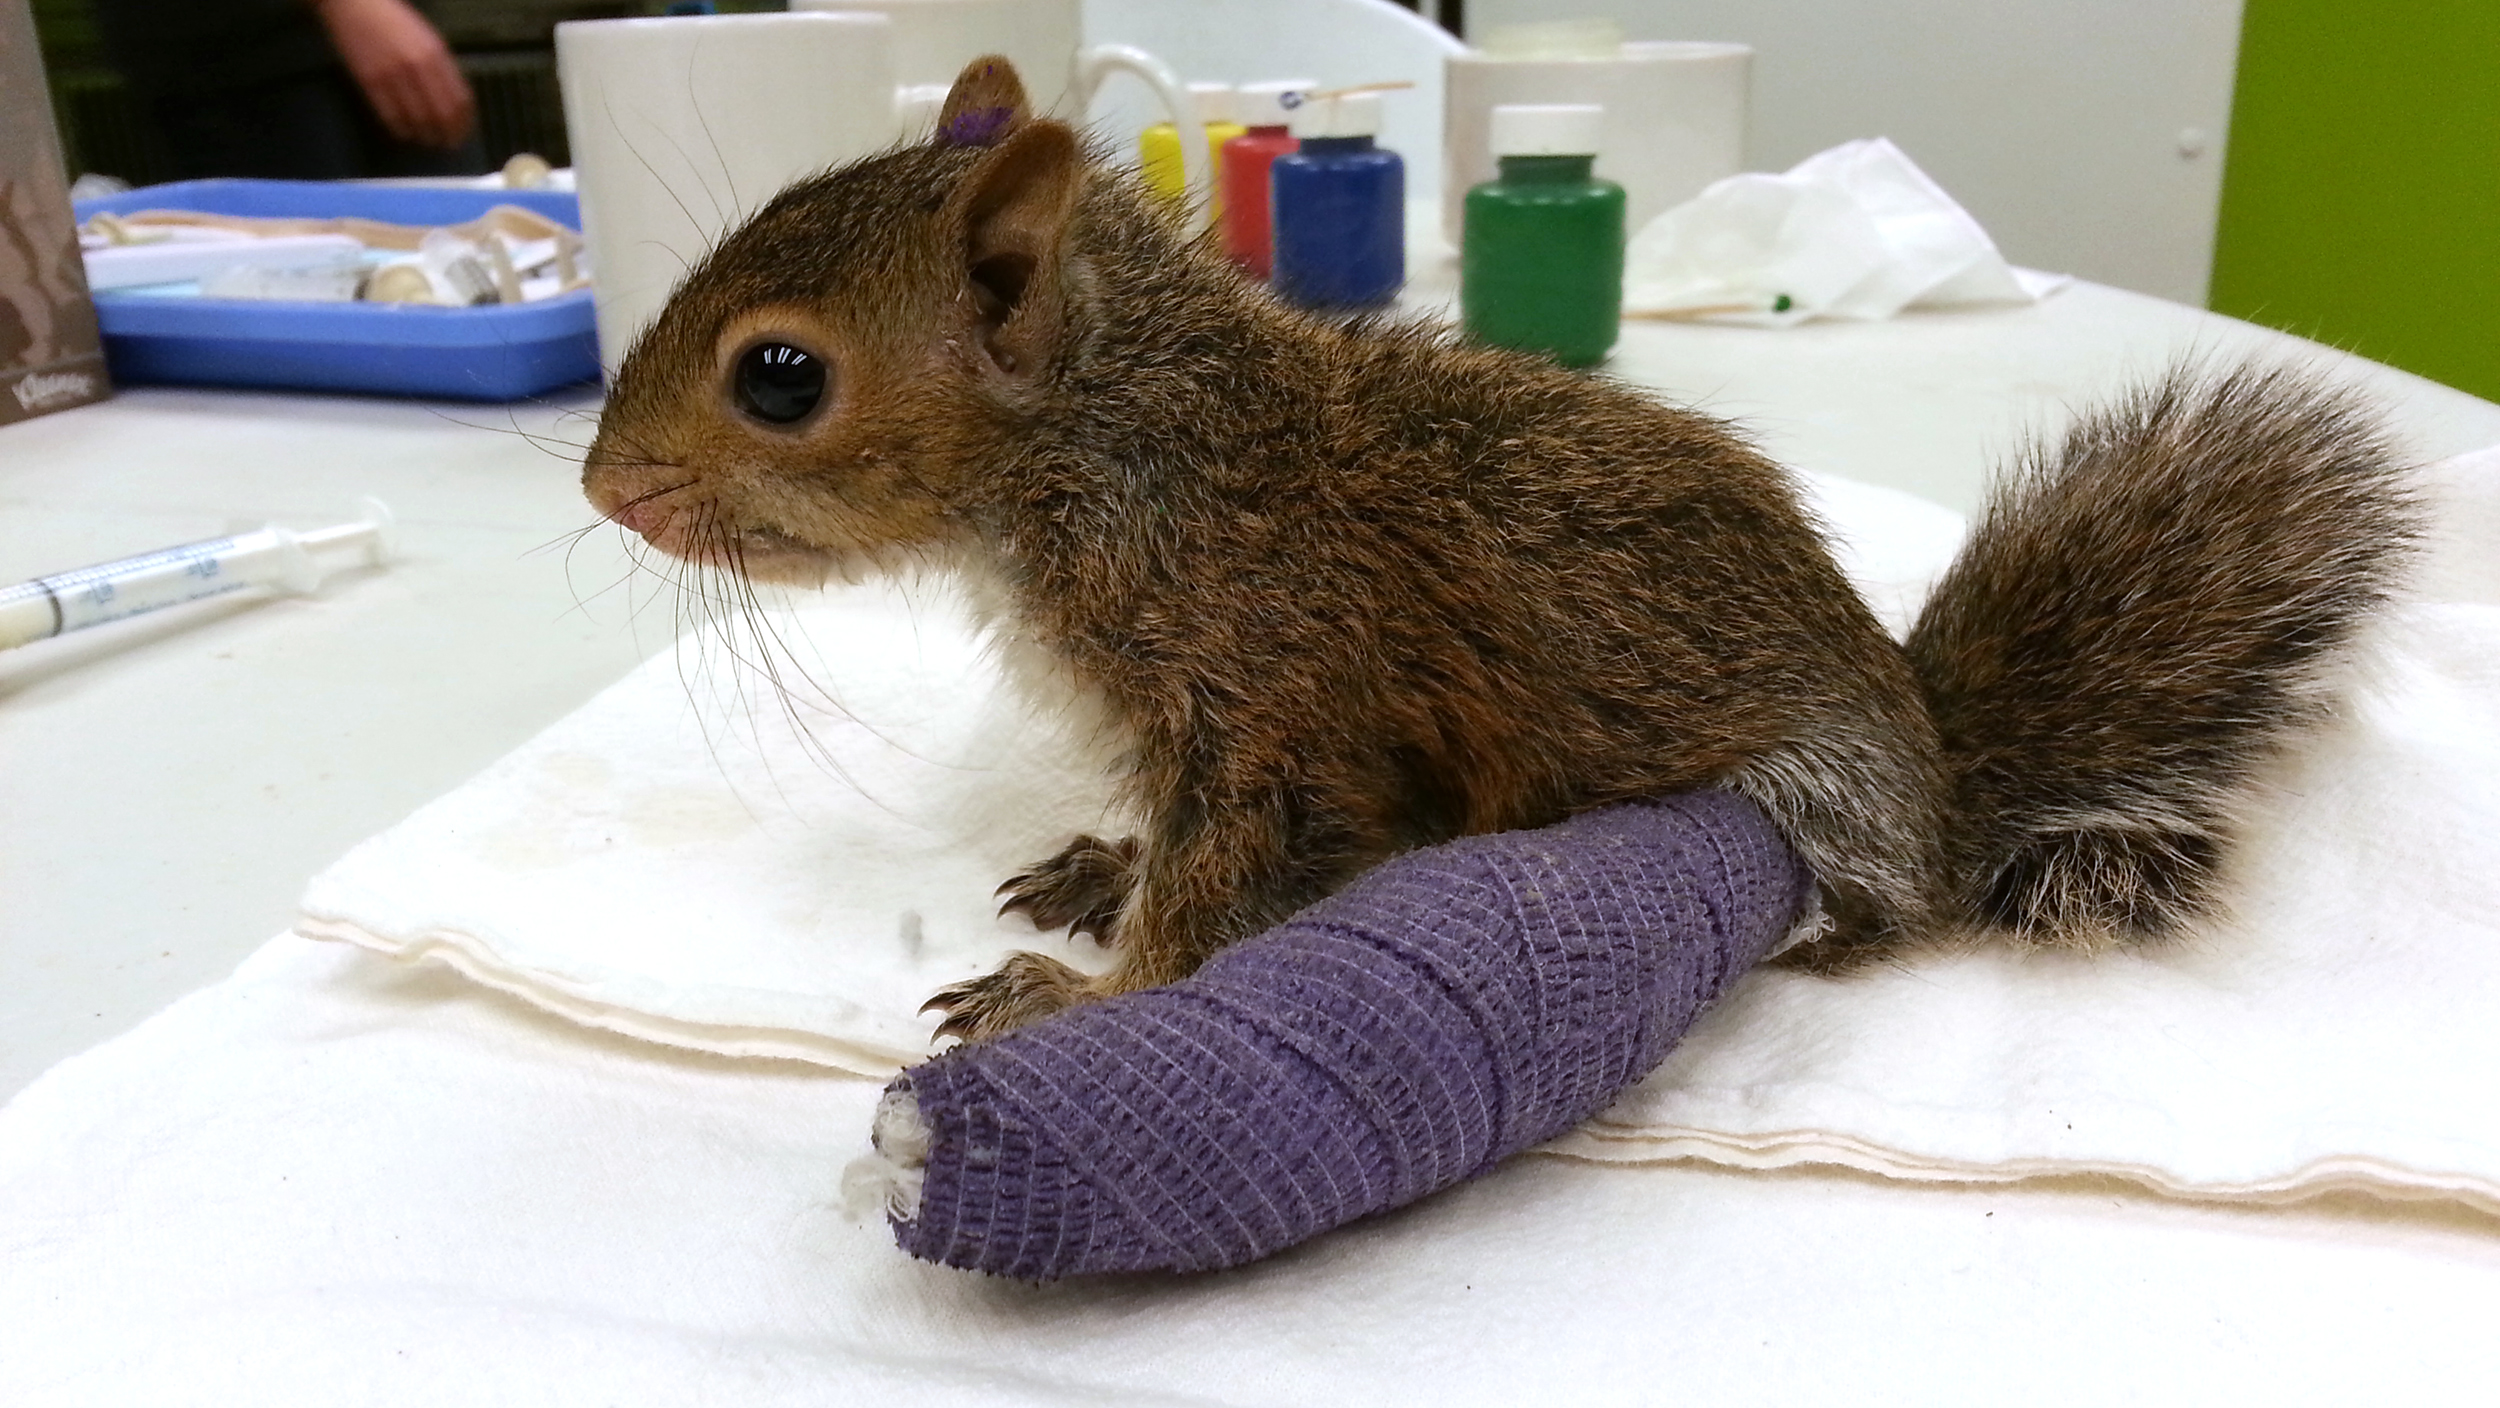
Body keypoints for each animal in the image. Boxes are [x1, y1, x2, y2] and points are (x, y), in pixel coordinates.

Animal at [585, 57, 2420, 1045]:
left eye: (779, 376)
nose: (604, 488)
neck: (1123, 455)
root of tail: (1939, 775)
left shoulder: (1270, 691)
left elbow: (1219, 881)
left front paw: (1084, 1001)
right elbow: (1170, 845)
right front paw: (1102, 864)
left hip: (1816, 810)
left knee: (1881, 923)